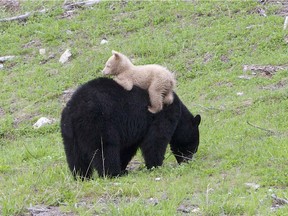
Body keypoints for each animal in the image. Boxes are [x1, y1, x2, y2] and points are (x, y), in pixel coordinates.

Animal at [60, 77, 200, 179]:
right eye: (194, 146)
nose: (188, 161)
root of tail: (75, 110)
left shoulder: (133, 131)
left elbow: (128, 148)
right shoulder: (162, 115)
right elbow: (155, 140)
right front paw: (156, 166)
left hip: (69, 132)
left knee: (75, 155)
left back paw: (81, 176)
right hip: (98, 124)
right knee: (105, 149)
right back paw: (113, 174)